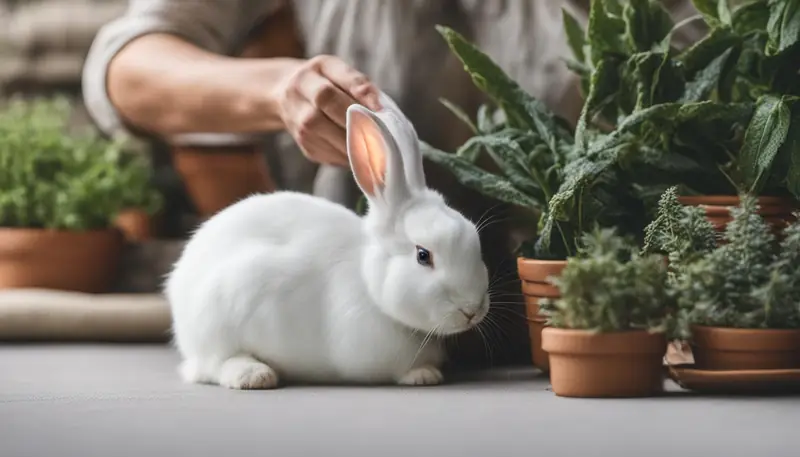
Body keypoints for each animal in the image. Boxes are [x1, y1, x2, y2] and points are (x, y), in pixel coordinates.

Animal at [164, 92, 490, 389]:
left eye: (475, 242)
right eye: (423, 255)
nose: (472, 310)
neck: (368, 283)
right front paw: (422, 375)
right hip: (218, 316)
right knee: (212, 365)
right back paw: (255, 375)